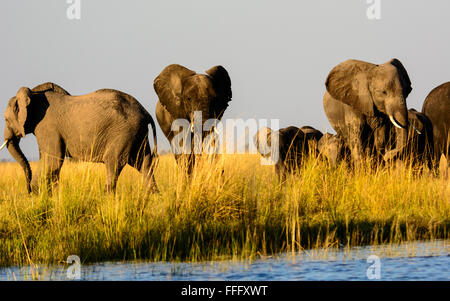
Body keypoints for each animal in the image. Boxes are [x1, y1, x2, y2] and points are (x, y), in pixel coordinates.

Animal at [0, 81, 159, 192]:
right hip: (138, 134)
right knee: (144, 164)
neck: (33, 95)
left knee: (113, 163)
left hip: (124, 132)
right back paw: (152, 197)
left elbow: (52, 162)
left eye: (6, 120)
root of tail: (145, 112)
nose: (26, 190)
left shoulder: (48, 128)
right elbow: (52, 166)